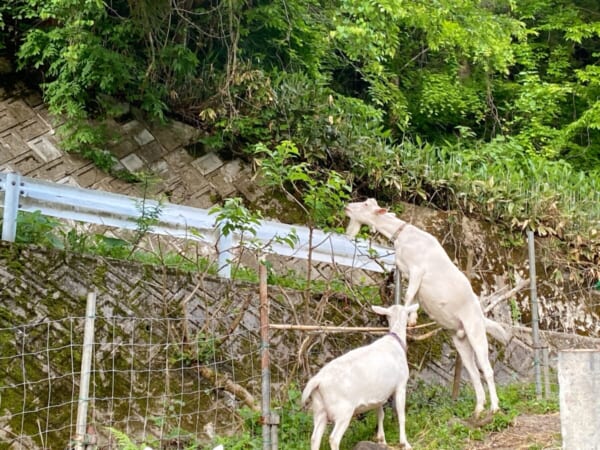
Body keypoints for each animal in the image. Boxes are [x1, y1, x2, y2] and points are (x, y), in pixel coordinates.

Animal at [302, 302, 414, 450]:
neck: (395, 342)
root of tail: (317, 381)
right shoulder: (401, 385)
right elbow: (401, 416)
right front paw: (405, 443)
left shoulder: (378, 395)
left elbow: (380, 415)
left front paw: (382, 441)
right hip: (343, 411)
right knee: (333, 438)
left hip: (319, 409)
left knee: (315, 438)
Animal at [344, 199, 508, 416]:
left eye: (364, 205)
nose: (347, 207)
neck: (404, 235)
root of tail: (481, 316)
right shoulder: (407, 273)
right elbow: (413, 296)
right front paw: (411, 319)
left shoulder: (417, 270)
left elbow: (408, 295)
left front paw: (404, 317)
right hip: (460, 339)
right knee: (473, 372)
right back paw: (479, 408)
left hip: (475, 330)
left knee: (486, 369)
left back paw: (494, 407)